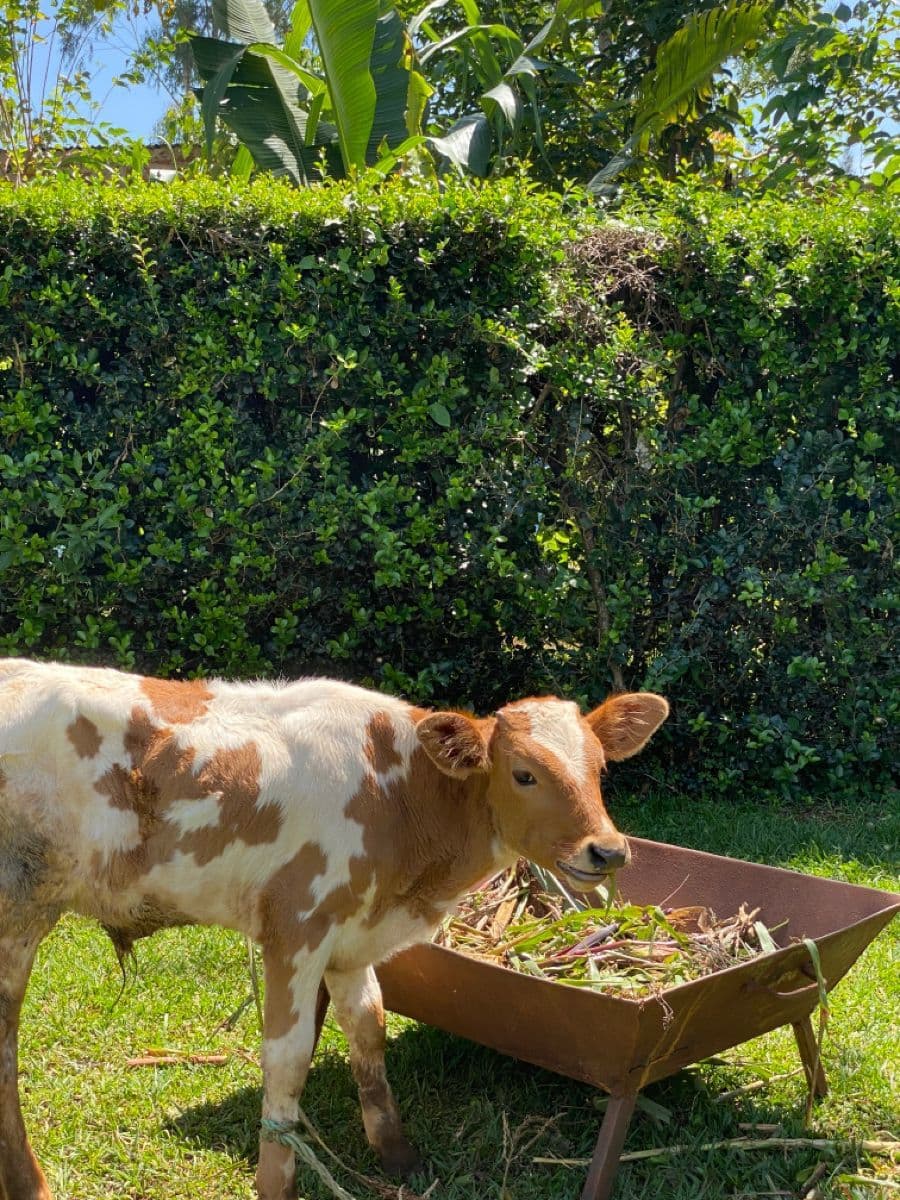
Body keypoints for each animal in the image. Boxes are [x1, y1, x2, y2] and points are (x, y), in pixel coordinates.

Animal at [0, 657, 669, 1200]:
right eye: (524, 774)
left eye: (600, 768)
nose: (607, 850)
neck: (398, 794)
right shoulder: (296, 927)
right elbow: (288, 1058)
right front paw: (277, 1182)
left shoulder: (353, 938)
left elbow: (368, 1028)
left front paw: (396, 1154)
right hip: (17, 910)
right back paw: (30, 1183)